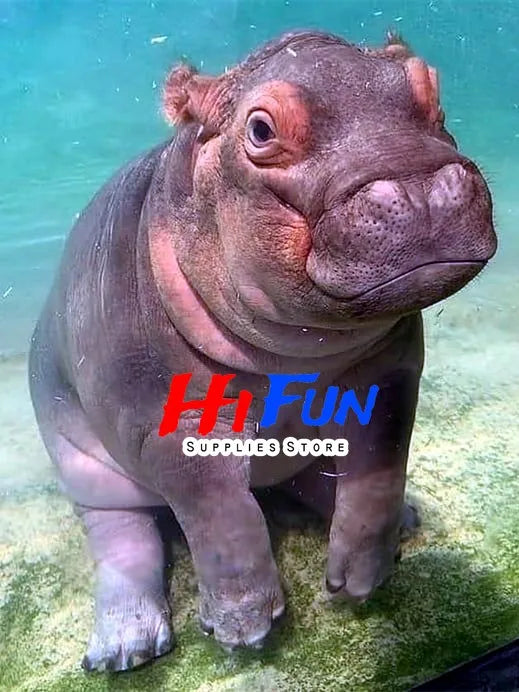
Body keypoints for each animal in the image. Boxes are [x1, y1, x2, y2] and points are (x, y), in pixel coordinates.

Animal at [28, 30, 497, 672]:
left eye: (431, 86)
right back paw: (125, 647)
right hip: (85, 467)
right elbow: (221, 516)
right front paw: (244, 632)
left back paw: (406, 520)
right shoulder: (166, 427)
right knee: (123, 538)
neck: (294, 356)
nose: (418, 186)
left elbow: (377, 478)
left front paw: (358, 583)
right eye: (260, 129)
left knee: (314, 480)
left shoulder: (391, 382)